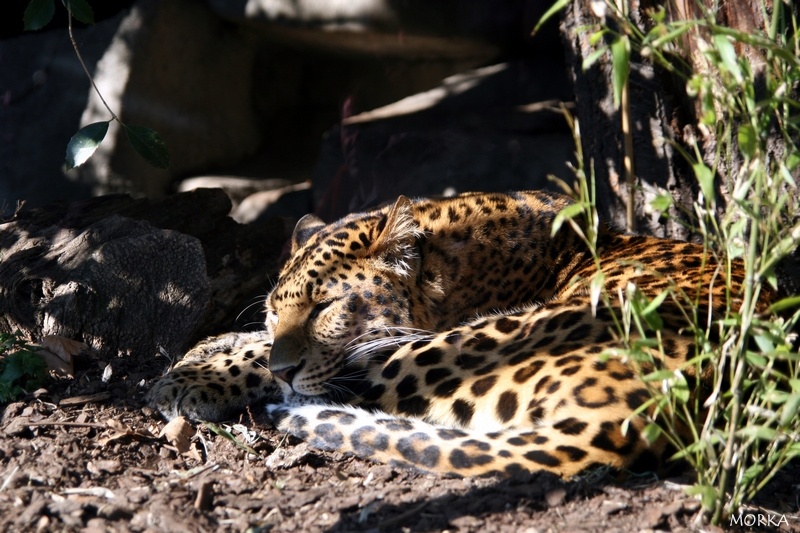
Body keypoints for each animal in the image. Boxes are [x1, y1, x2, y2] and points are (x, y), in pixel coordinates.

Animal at [150, 191, 776, 478]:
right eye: (273, 312)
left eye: (324, 306)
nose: (285, 368)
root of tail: (638, 408)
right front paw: (209, 346)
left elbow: (266, 358)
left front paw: (188, 375)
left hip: (451, 349)